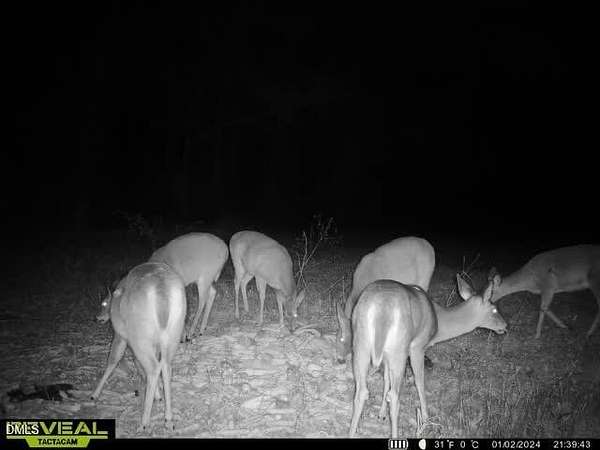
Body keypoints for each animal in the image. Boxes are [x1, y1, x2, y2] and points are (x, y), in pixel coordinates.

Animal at [91, 262, 186, 431]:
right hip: (173, 332)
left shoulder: (120, 335)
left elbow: (113, 360)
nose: (96, 318)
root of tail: (162, 292)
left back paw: (144, 422)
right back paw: (168, 419)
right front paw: (158, 395)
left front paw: (94, 394)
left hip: (139, 336)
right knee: (166, 366)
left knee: (153, 367)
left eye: (103, 303)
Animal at [349, 275, 507, 438]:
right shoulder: (418, 347)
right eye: (494, 309)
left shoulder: (387, 354)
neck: (439, 321)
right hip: (399, 348)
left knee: (361, 391)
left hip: (361, 342)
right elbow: (419, 381)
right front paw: (425, 418)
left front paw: (381, 414)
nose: (505, 326)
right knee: (394, 396)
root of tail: (382, 309)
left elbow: (386, 379)